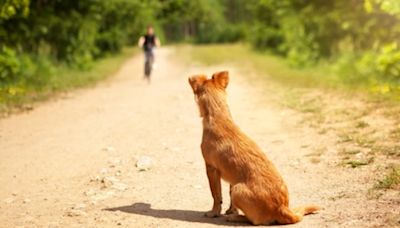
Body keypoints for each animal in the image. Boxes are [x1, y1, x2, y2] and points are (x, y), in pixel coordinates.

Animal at [189, 71, 320, 226]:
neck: (219, 117)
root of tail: (282, 208)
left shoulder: (211, 168)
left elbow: (216, 195)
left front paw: (215, 212)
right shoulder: (233, 177)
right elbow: (229, 198)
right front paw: (231, 210)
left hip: (238, 190)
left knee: (255, 221)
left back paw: (236, 218)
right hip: (238, 187)